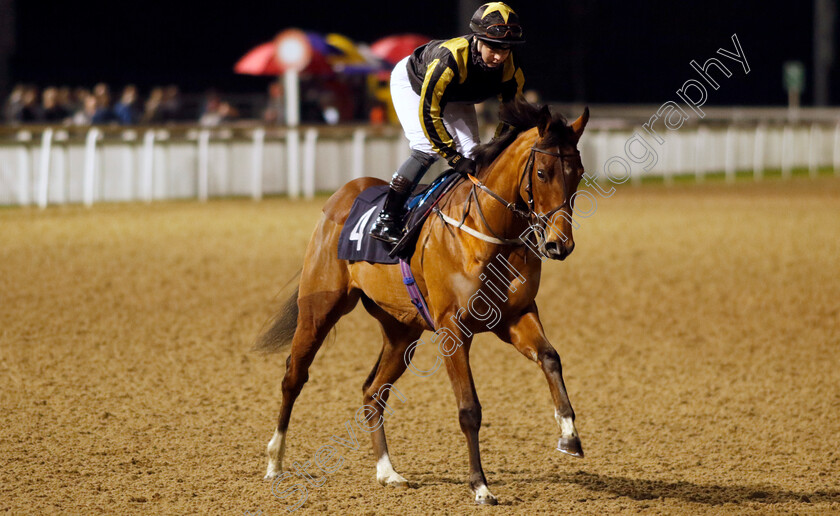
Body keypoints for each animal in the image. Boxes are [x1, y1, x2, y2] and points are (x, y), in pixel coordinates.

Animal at [256, 99, 592, 506]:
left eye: (579, 173)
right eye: (542, 173)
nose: (560, 244)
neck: (487, 231)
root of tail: (344, 193)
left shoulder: (515, 316)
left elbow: (550, 357)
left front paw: (569, 435)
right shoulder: (453, 329)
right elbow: (469, 409)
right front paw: (480, 486)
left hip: (401, 331)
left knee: (373, 392)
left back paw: (387, 471)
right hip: (318, 310)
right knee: (294, 377)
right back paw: (275, 462)